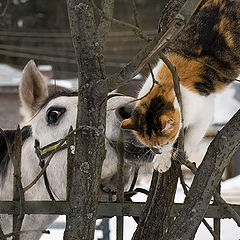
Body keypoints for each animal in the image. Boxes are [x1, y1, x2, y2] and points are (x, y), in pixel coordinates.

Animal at [122, 0, 240, 172]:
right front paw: (162, 159)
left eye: (164, 143)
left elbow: (194, 133)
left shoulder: (204, 110)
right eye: (149, 145)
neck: (166, 85)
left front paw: (183, 151)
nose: (156, 152)